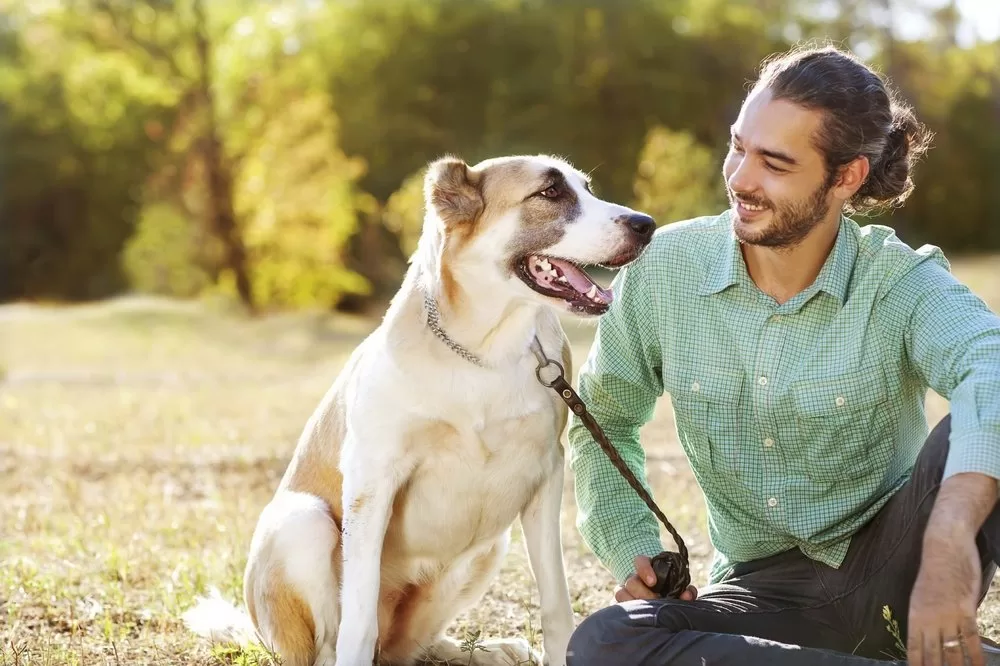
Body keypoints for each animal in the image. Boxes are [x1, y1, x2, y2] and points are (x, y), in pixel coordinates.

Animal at [185, 154, 660, 664]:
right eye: (550, 193)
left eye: (586, 189)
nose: (646, 225)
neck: (484, 351)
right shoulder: (372, 481)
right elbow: (358, 621)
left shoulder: (545, 476)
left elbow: (555, 603)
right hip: (301, 522)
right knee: (332, 646)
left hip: (490, 545)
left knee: (414, 648)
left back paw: (491, 650)